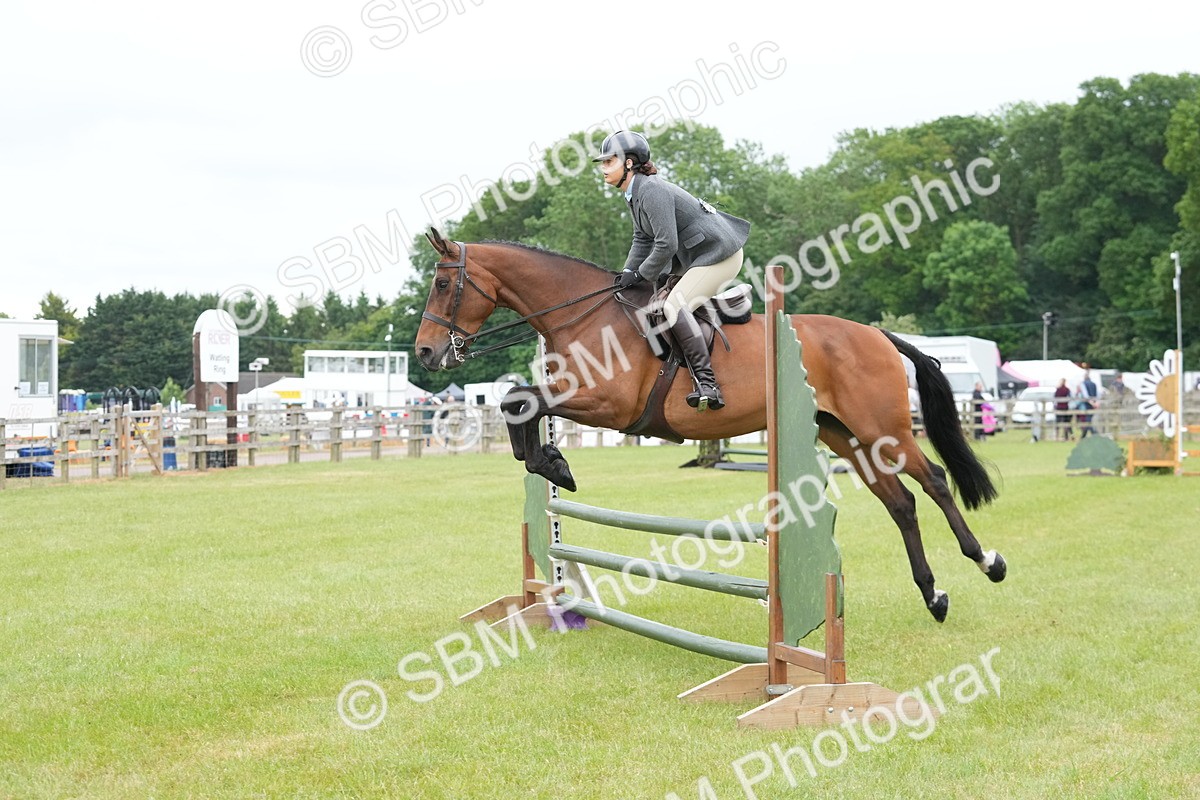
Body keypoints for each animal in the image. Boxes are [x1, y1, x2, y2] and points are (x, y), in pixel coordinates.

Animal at [414, 229, 1006, 622]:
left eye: (442, 284)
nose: (424, 353)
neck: (585, 316)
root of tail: (877, 334)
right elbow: (521, 403)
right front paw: (552, 463)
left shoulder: (607, 405)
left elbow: (521, 401)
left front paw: (553, 463)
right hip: (845, 435)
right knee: (900, 502)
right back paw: (934, 596)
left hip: (884, 428)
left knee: (933, 480)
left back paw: (988, 561)